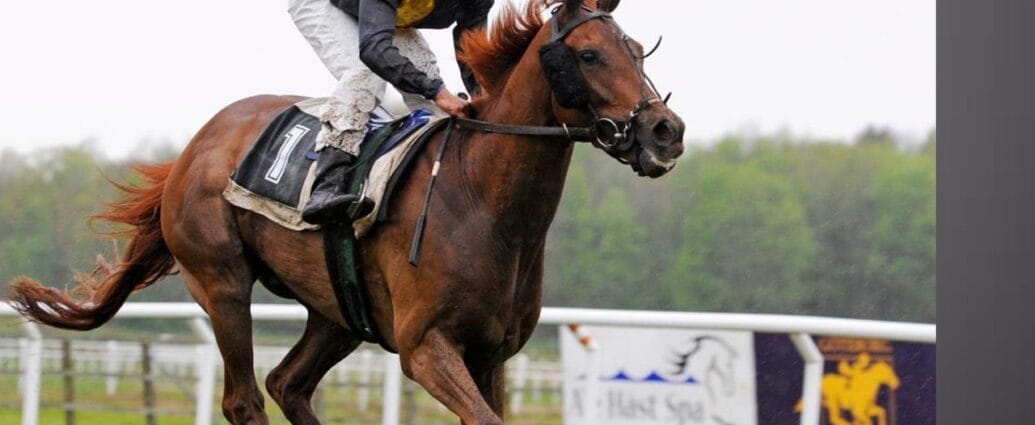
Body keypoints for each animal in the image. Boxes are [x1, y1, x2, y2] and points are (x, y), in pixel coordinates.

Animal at [9, 0, 684, 423]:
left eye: (637, 51)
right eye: (591, 55)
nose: (666, 131)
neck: (483, 201)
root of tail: (195, 146)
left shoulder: (492, 353)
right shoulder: (426, 347)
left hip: (337, 309)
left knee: (287, 385)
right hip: (220, 282)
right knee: (245, 398)